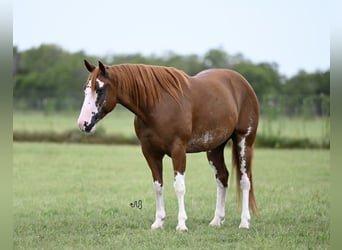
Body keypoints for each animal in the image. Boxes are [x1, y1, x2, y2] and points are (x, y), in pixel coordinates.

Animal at [78, 59, 260, 231]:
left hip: (244, 141)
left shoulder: (178, 150)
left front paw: (181, 225)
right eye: (86, 90)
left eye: (99, 89)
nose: (83, 124)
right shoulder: (150, 152)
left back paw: (244, 222)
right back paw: (217, 220)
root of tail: (243, 83)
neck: (157, 105)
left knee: (245, 180)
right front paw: (158, 223)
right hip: (214, 147)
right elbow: (158, 186)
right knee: (222, 177)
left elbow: (179, 187)